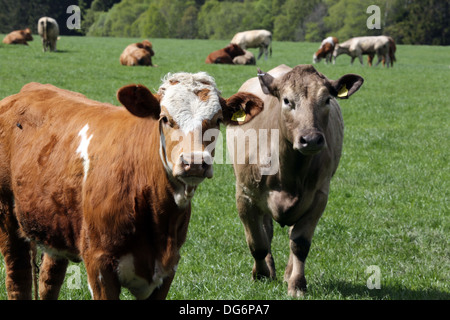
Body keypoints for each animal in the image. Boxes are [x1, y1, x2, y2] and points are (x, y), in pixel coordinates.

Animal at [0, 72, 264, 300]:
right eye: (165, 119)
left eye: (218, 120)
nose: (195, 162)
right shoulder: (99, 264)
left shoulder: (168, 268)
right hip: (8, 221)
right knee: (18, 279)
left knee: (49, 280)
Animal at [227, 65, 364, 298]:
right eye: (287, 100)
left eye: (327, 99)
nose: (311, 139)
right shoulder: (244, 195)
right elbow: (257, 242)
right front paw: (261, 274)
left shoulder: (318, 197)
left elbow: (300, 243)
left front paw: (297, 284)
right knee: (266, 232)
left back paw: (287, 273)